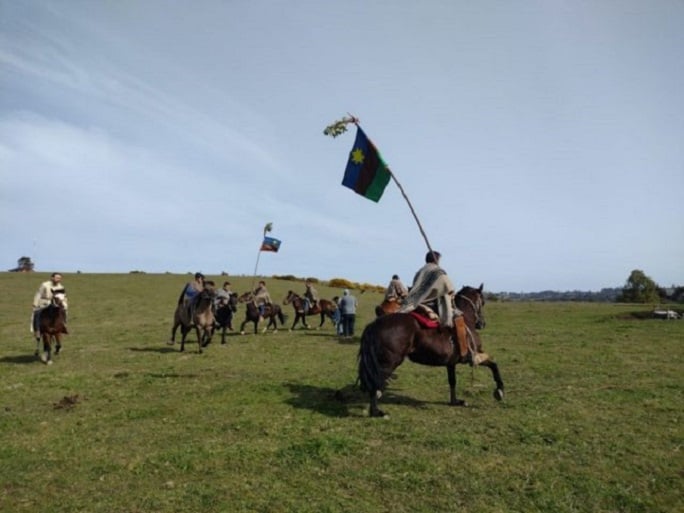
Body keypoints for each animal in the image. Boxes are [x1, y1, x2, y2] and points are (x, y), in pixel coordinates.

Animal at [358, 284, 502, 416]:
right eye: (482, 302)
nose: (482, 323)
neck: (466, 320)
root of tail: (375, 323)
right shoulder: (473, 356)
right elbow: (494, 365)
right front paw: (500, 391)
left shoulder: (451, 363)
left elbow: (452, 381)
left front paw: (455, 401)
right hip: (389, 363)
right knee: (376, 382)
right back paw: (376, 411)